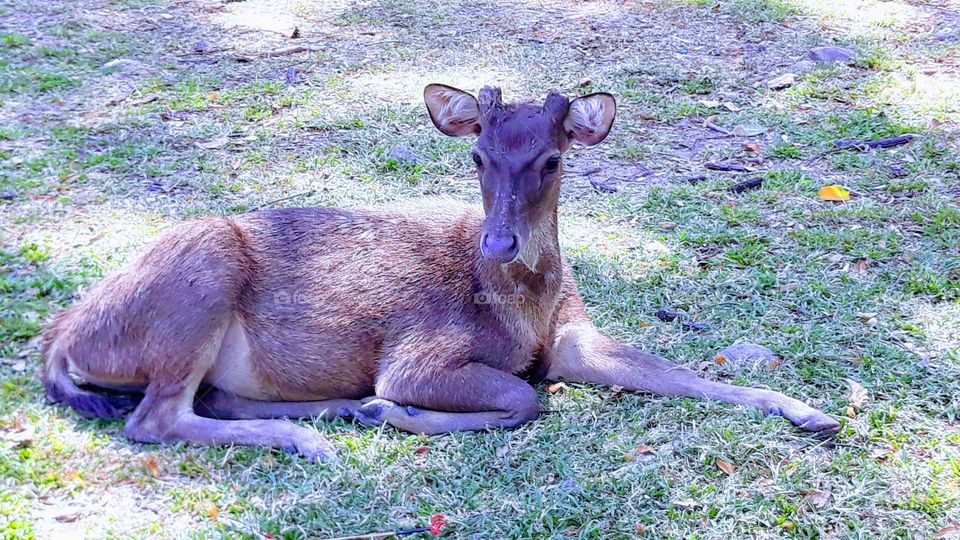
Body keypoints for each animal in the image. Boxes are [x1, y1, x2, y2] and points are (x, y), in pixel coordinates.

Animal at [42, 85, 840, 463]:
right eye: (478, 154)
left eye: (552, 158)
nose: (499, 243)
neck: (523, 308)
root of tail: (63, 339)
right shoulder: (418, 355)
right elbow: (523, 398)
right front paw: (399, 411)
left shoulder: (574, 338)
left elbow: (689, 375)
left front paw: (811, 410)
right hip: (196, 282)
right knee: (155, 418)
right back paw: (317, 435)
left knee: (211, 401)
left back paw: (336, 414)